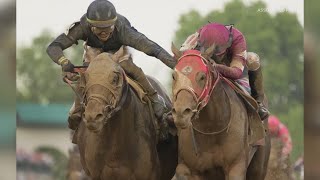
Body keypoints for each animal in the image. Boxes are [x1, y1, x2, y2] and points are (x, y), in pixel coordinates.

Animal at [170, 44, 270, 180]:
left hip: (259, 166)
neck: (212, 128)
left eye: (202, 76)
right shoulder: (190, 168)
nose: (181, 112)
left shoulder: (235, 167)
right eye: (174, 76)